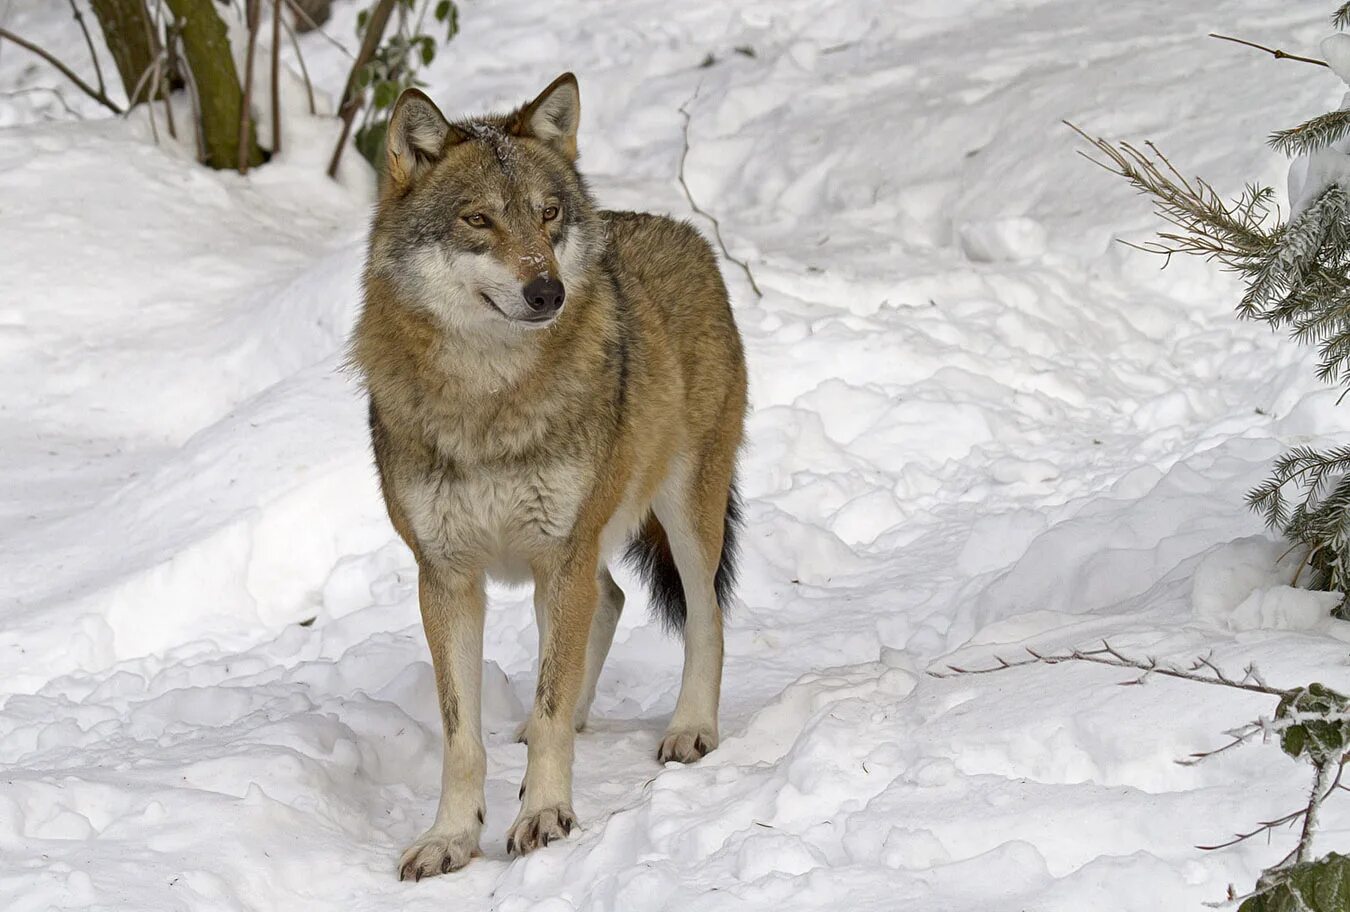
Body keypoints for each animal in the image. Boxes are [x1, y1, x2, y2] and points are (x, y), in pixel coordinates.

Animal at [348, 74, 750, 879]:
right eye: (478, 219)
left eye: (547, 213)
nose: (547, 293)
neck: (488, 398)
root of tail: (682, 230)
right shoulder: (446, 574)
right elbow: (463, 737)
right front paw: (451, 837)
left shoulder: (561, 550)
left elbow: (555, 698)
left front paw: (544, 814)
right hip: (576, 553)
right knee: (611, 602)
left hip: (680, 512)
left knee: (704, 619)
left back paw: (690, 729)